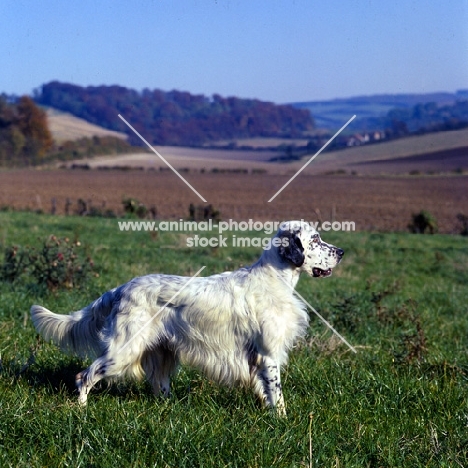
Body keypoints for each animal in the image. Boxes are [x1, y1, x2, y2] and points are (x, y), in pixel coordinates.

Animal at [30, 221, 344, 414]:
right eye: (315, 239)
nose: (341, 251)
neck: (274, 279)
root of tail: (120, 289)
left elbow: (263, 389)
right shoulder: (268, 354)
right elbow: (276, 394)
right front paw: (281, 419)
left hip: (162, 351)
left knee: (159, 384)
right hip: (123, 349)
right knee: (85, 375)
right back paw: (81, 408)